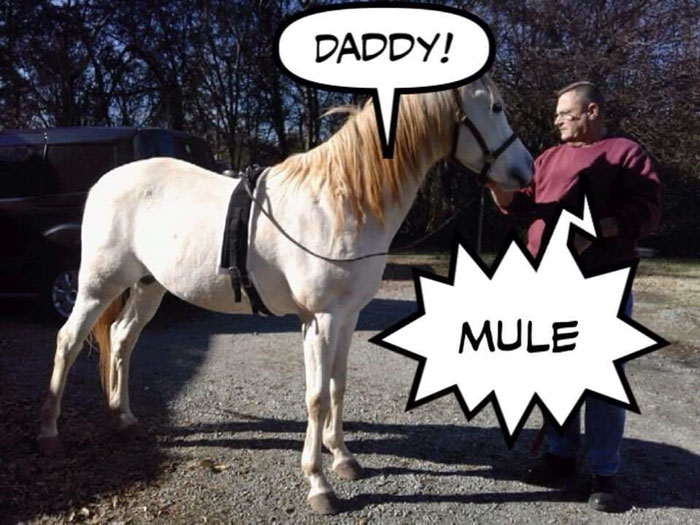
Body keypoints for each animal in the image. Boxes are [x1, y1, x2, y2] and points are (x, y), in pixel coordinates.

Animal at [38, 76, 533, 514]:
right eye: (495, 108)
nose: (525, 172)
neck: (343, 200)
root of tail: (105, 182)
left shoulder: (348, 317)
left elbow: (337, 385)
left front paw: (343, 457)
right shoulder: (320, 319)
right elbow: (315, 396)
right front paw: (319, 484)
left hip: (147, 286)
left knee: (122, 340)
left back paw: (122, 417)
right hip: (97, 286)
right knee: (67, 341)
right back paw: (49, 432)